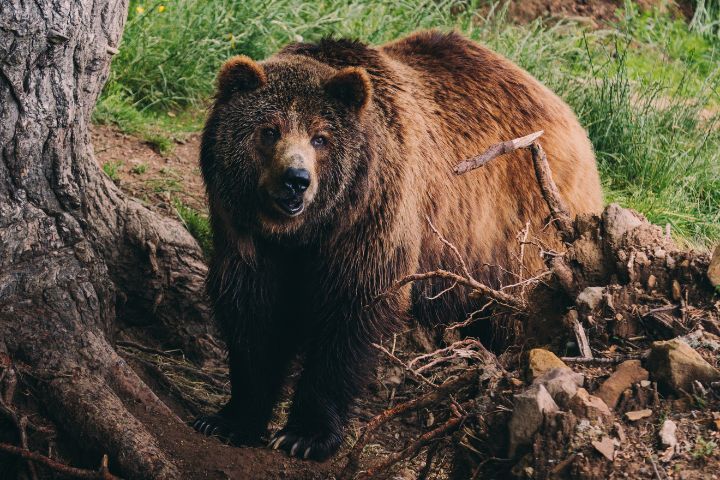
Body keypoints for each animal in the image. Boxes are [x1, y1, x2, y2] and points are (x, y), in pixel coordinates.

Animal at [193, 30, 603, 461]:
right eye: (269, 130)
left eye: (321, 137)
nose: (296, 180)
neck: (306, 231)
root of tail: (566, 113)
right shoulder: (245, 234)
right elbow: (252, 312)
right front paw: (229, 419)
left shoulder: (373, 216)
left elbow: (352, 310)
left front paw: (305, 435)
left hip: (517, 229)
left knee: (521, 312)